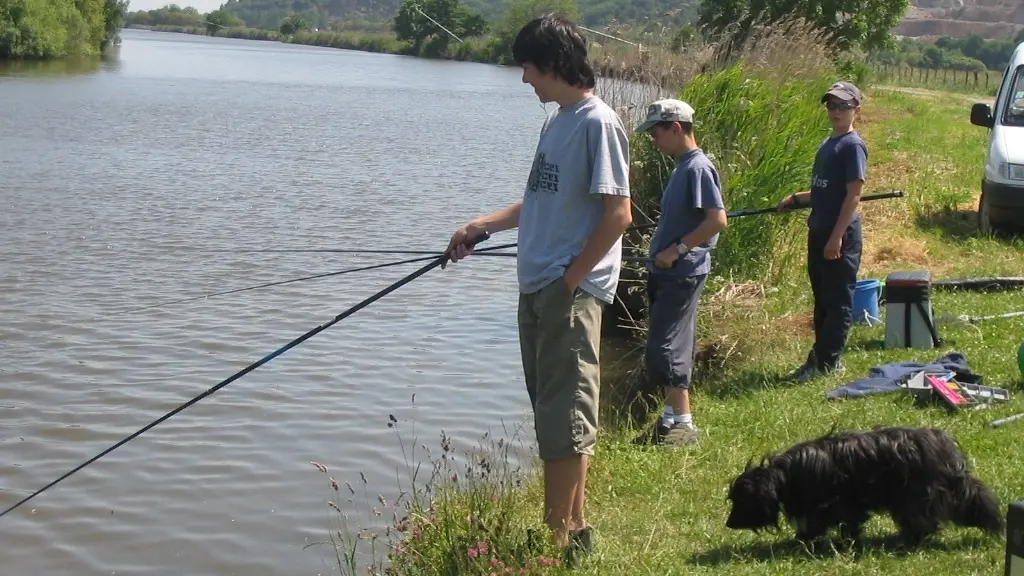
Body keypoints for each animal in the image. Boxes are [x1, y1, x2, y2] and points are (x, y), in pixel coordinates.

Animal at [724, 424, 1003, 545]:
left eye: (741, 501)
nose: (729, 524)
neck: (784, 475)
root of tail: (944, 446)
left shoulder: (835, 502)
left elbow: (839, 522)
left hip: (915, 494)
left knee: (922, 520)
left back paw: (910, 539)